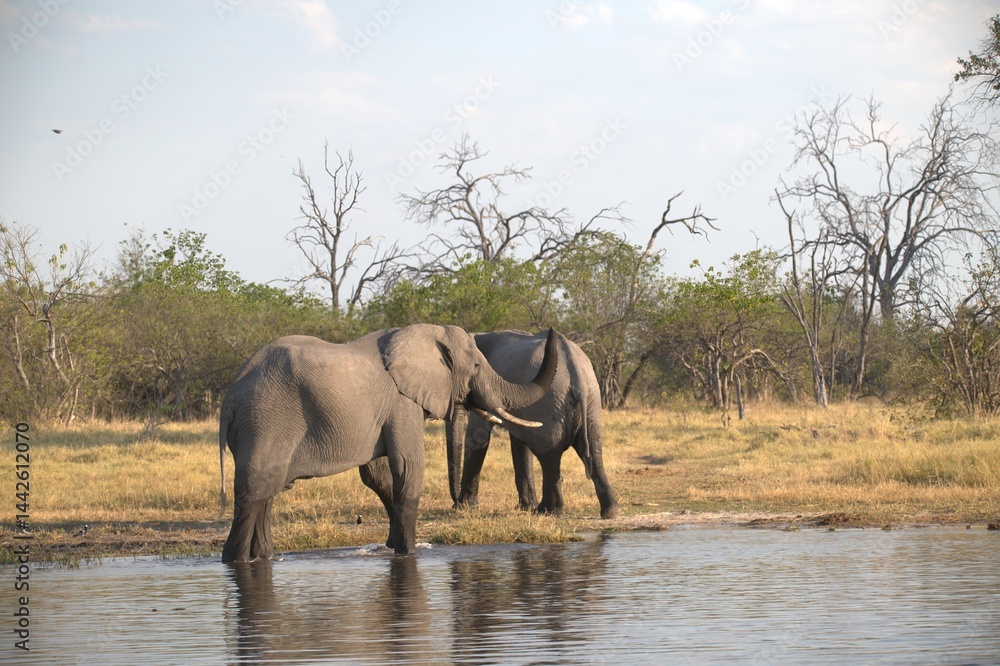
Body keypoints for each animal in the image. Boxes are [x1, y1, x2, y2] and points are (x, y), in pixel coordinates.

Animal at [218, 324, 559, 562]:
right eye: (476, 366)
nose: (457, 503)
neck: (422, 333)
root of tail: (230, 397)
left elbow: (377, 475)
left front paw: (392, 546)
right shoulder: (401, 403)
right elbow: (408, 466)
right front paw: (408, 553)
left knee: (267, 493)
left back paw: (265, 557)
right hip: (265, 421)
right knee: (254, 492)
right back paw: (235, 559)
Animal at [448, 330, 618, 519]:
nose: (454, 500)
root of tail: (574, 366)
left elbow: (478, 435)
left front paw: (464, 507)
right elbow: (519, 443)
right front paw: (525, 507)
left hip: (547, 403)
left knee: (549, 454)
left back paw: (547, 510)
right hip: (592, 400)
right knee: (594, 450)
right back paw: (610, 511)